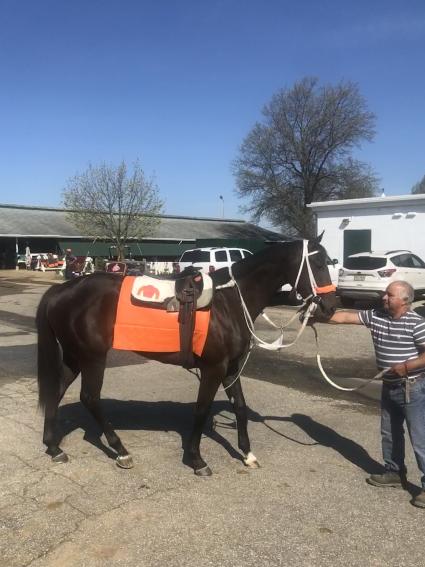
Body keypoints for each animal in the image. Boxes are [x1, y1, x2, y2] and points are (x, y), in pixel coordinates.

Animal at [35, 237, 334, 478]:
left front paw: (247, 453)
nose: (330, 308)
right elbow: (201, 410)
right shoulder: (214, 368)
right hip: (93, 358)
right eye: (317, 263)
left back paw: (53, 446)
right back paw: (120, 450)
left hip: (75, 356)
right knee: (90, 398)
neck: (229, 302)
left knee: (56, 391)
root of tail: (61, 290)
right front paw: (196, 459)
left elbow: (240, 407)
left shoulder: (231, 367)